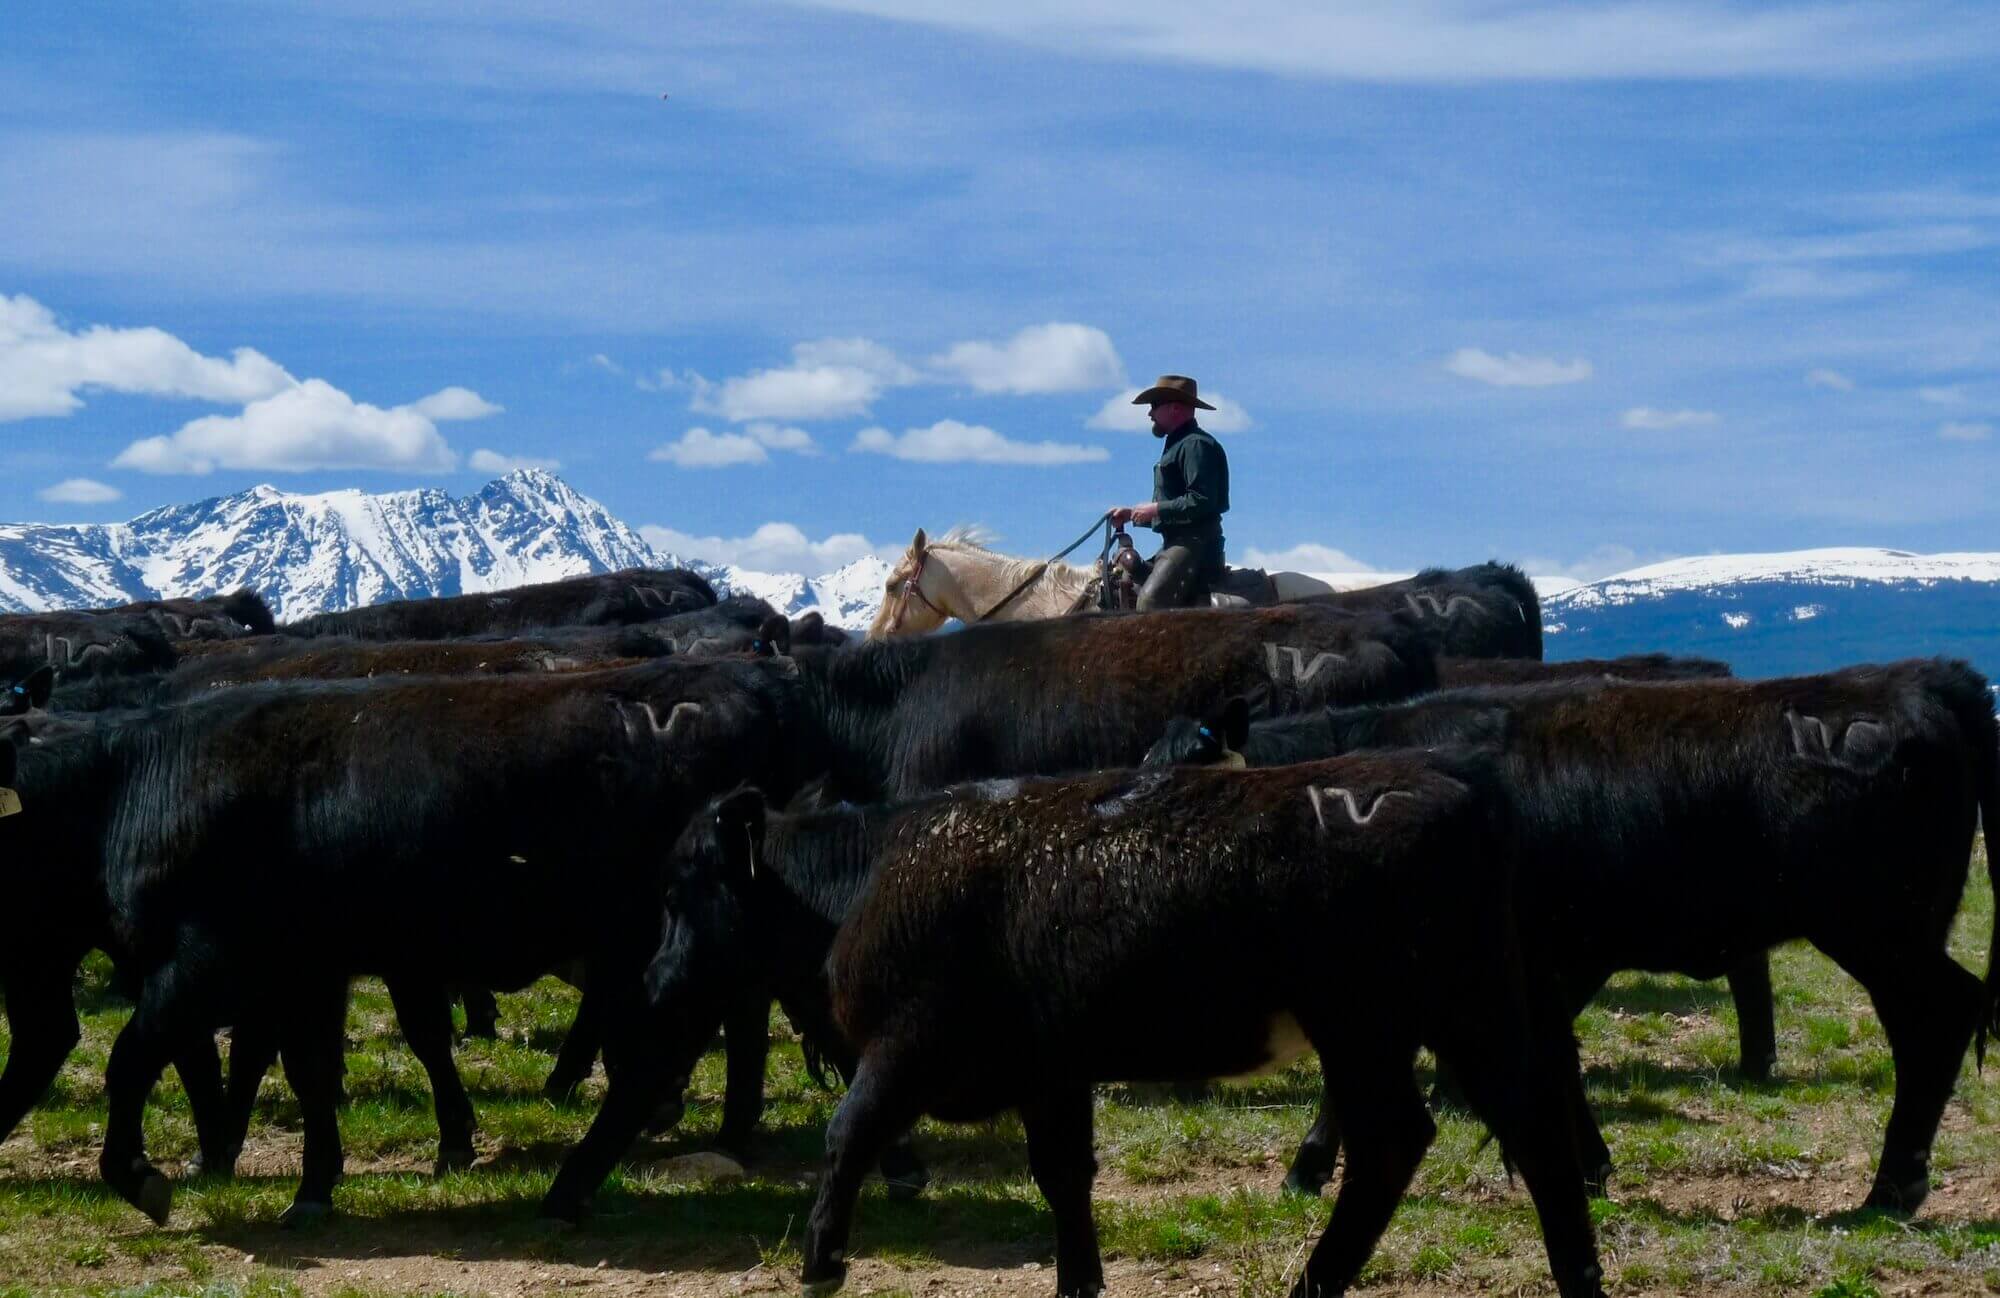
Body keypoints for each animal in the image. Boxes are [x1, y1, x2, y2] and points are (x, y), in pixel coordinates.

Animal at [0, 655, 812, 1226]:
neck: (129, 785)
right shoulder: (307, 972)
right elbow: (308, 1071)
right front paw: (314, 1185)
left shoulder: (201, 962)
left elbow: (133, 1057)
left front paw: (142, 1176)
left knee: (655, 1060)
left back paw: (586, 1181)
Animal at [619, 758, 1605, 1298]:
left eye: (681, 885)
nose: (656, 980)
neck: (869, 875)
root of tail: (1455, 788)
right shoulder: (1049, 1071)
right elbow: (1064, 1178)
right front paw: (1077, 1281)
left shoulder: (903, 1048)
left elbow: (846, 1134)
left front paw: (821, 1261)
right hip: (1462, 1018)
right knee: (1527, 1139)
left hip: (1375, 1027)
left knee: (1401, 1142)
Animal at [1144, 660, 2000, 1214]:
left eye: (1195, 775)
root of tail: (1919, 677)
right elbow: (1558, 1061)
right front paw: (1590, 1165)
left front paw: (1307, 1166)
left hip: (1877, 931)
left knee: (1940, 1019)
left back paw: (1889, 1189)